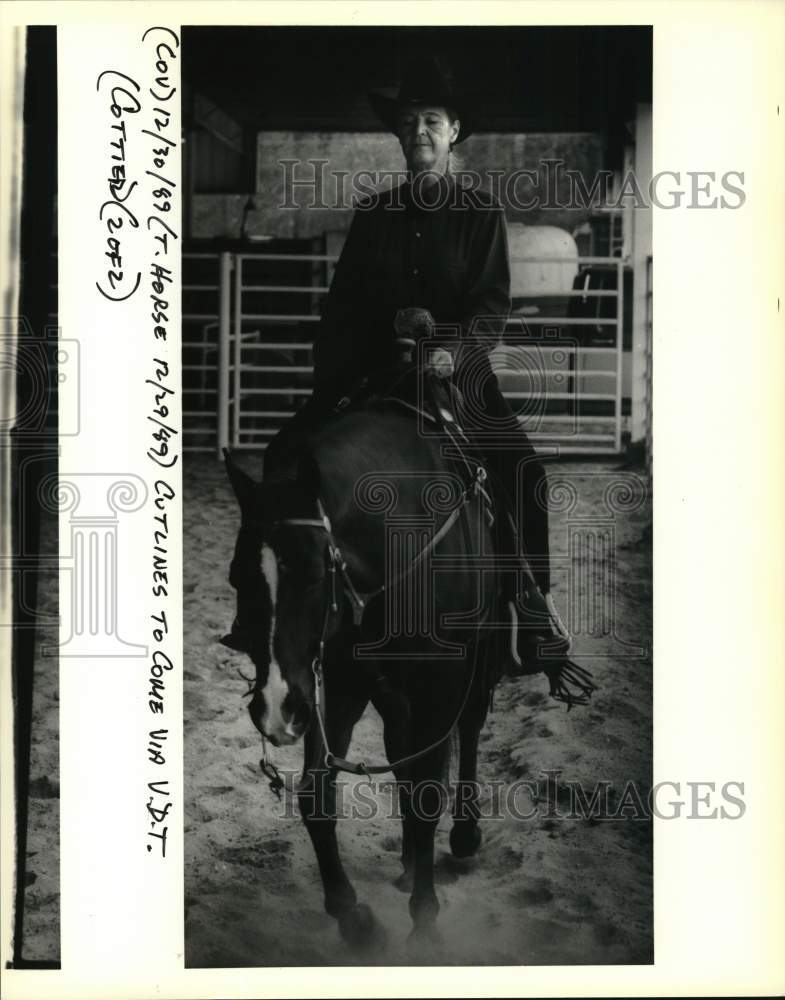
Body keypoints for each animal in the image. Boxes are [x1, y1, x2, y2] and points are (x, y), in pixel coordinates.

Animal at [222, 386, 502, 948]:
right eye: (239, 577)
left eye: (313, 576)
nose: (274, 708)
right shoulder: (333, 686)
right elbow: (317, 795)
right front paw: (353, 917)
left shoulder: (442, 685)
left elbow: (427, 793)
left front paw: (425, 927)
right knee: (401, 754)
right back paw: (409, 863)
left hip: (474, 664)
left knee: (468, 731)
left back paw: (463, 836)